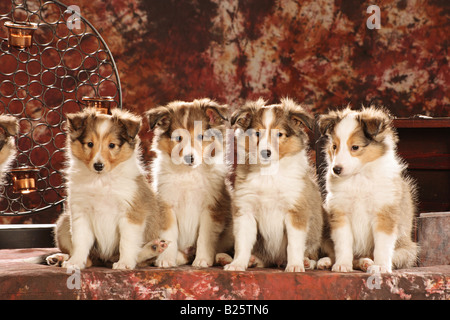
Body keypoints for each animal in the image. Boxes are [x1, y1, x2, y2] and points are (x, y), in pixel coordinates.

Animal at [46, 108, 169, 270]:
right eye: (89, 144)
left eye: (112, 145)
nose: (98, 166)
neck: (101, 181)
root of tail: (104, 259)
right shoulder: (80, 212)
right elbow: (80, 241)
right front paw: (75, 262)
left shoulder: (131, 212)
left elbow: (127, 242)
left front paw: (124, 263)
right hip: (63, 223)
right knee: (88, 259)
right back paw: (59, 258)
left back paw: (153, 248)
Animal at [147, 97, 232, 268]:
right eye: (178, 138)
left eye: (201, 137)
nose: (189, 158)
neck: (188, 174)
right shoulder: (166, 204)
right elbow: (169, 234)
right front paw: (166, 259)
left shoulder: (211, 208)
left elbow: (205, 236)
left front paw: (202, 260)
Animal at [224, 98, 324, 272]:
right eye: (257, 133)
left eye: (279, 134)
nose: (266, 153)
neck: (269, 173)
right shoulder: (245, 211)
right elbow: (242, 243)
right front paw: (238, 264)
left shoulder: (296, 212)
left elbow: (294, 245)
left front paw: (295, 265)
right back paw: (253, 260)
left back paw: (306, 262)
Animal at [316, 105, 418, 272]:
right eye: (334, 147)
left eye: (355, 147)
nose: (336, 169)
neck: (359, 177)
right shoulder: (340, 213)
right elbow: (343, 244)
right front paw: (342, 264)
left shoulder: (384, 214)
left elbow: (382, 246)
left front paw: (381, 266)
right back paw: (326, 261)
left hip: (407, 250)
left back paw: (367, 262)